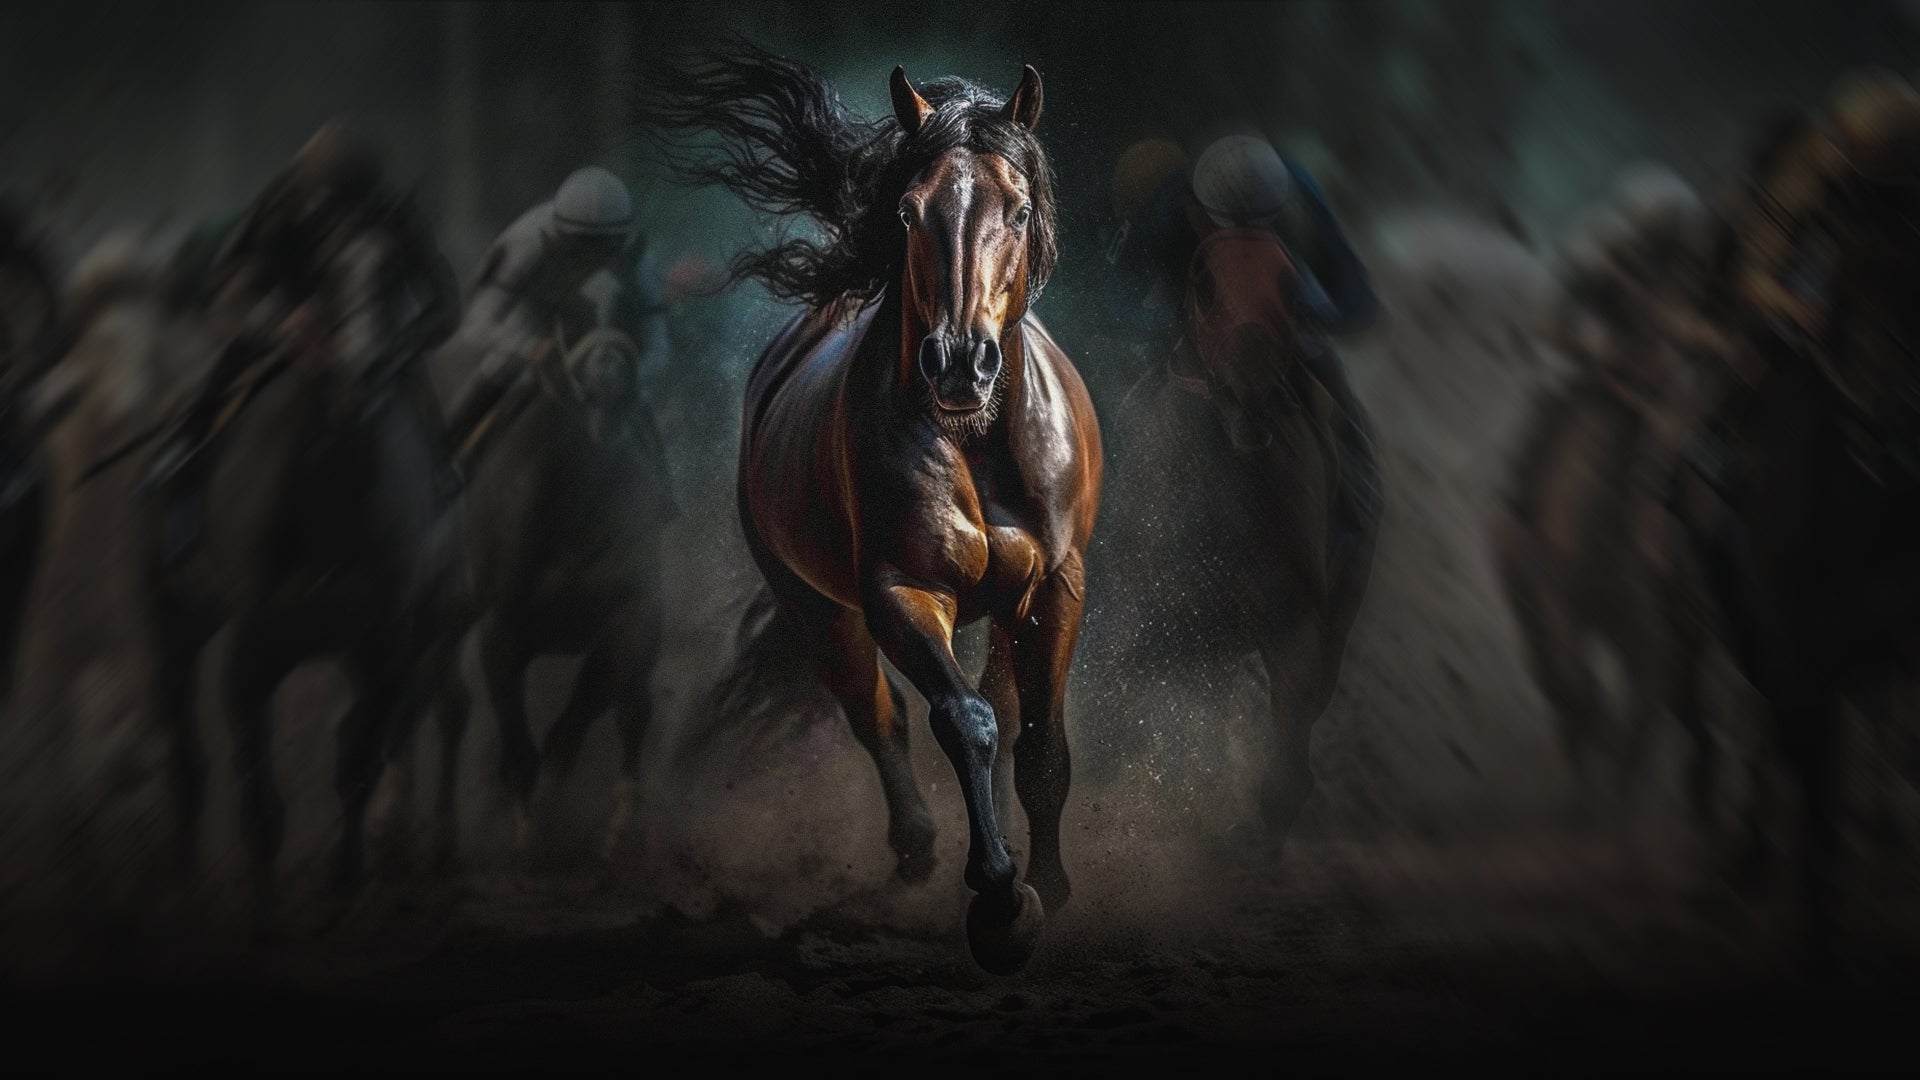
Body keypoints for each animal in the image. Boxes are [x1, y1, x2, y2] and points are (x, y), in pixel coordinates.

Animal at [439, 299, 673, 863]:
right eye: (574, 316)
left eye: (633, 308)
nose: (610, 369)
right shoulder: (502, 629)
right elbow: (516, 735)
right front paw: (525, 825)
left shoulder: (631, 615)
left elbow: (609, 708)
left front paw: (617, 826)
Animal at [647, 46, 1099, 974]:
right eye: (907, 209)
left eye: (1020, 208)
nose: (960, 363)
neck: (976, 442)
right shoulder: (899, 592)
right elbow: (960, 721)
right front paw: (1001, 901)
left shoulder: (1055, 588)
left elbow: (1038, 742)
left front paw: (1051, 889)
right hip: (819, 609)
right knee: (878, 714)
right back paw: (919, 853)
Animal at [1094, 223, 1379, 845]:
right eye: (1204, 283)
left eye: (1292, 290)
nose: (1252, 391)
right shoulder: (1133, 628)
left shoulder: (1294, 628)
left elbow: (1287, 779)